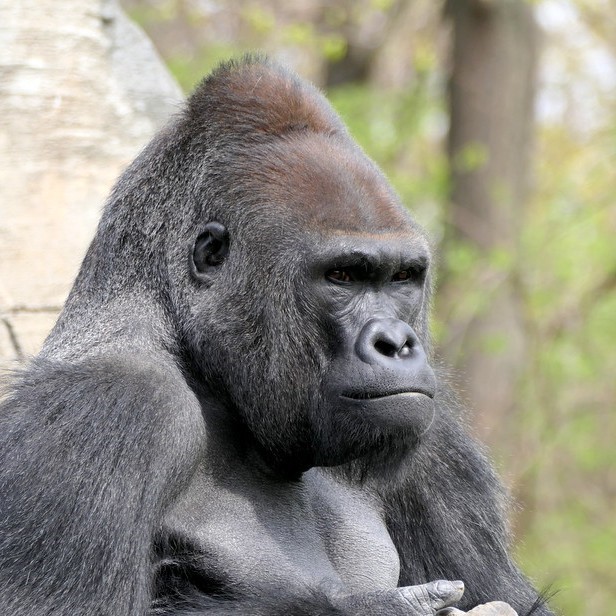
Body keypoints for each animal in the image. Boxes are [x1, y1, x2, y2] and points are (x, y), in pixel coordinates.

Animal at [0, 57, 548, 616]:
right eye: (343, 276)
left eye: (402, 277)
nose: (396, 343)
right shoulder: (113, 405)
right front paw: (380, 607)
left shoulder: (433, 436)